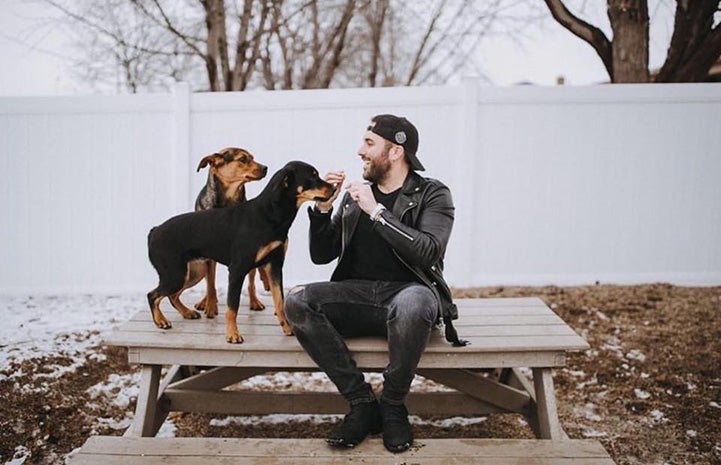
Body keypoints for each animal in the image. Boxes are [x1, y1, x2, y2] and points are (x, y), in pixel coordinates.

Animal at [150, 161, 336, 342]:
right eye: (312, 176)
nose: (334, 188)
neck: (268, 215)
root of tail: (154, 231)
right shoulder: (237, 269)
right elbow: (233, 306)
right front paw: (232, 335)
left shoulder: (274, 266)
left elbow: (279, 301)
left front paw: (287, 328)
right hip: (176, 275)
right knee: (153, 295)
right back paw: (161, 321)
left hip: (192, 273)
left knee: (171, 296)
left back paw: (186, 313)